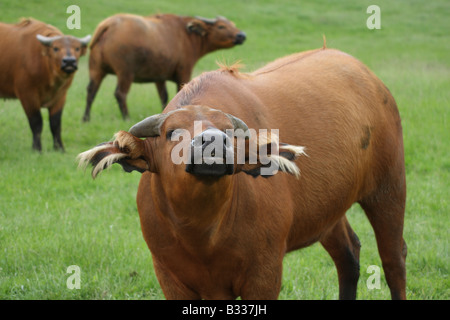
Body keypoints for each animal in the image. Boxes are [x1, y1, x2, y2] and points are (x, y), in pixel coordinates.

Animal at [0, 18, 90, 152]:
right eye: (56, 48)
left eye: (77, 48)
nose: (69, 61)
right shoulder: (27, 95)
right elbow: (36, 123)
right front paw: (37, 148)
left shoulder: (61, 96)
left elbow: (55, 123)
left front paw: (59, 148)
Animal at [78, 47, 408, 300]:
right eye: (172, 132)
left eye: (229, 132)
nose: (212, 141)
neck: (202, 233)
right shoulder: (170, 277)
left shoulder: (265, 274)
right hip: (329, 209)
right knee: (348, 255)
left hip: (389, 186)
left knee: (394, 260)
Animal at [82, 13, 248, 121]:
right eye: (221, 26)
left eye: (232, 24)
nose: (242, 35)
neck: (186, 34)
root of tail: (109, 24)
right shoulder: (184, 72)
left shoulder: (158, 77)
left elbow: (164, 97)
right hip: (125, 73)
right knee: (120, 94)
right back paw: (126, 117)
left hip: (96, 70)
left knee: (91, 91)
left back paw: (86, 118)